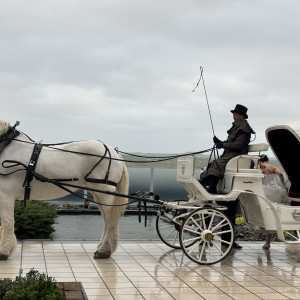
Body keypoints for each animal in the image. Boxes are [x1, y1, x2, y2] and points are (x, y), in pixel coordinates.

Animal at [0, 120, 127, 258]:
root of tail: (114, 152)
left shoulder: (5, 193)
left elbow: (7, 221)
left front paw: (4, 251)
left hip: (106, 192)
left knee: (110, 219)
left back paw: (104, 250)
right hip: (98, 193)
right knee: (106, 219)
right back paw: (101, 247)